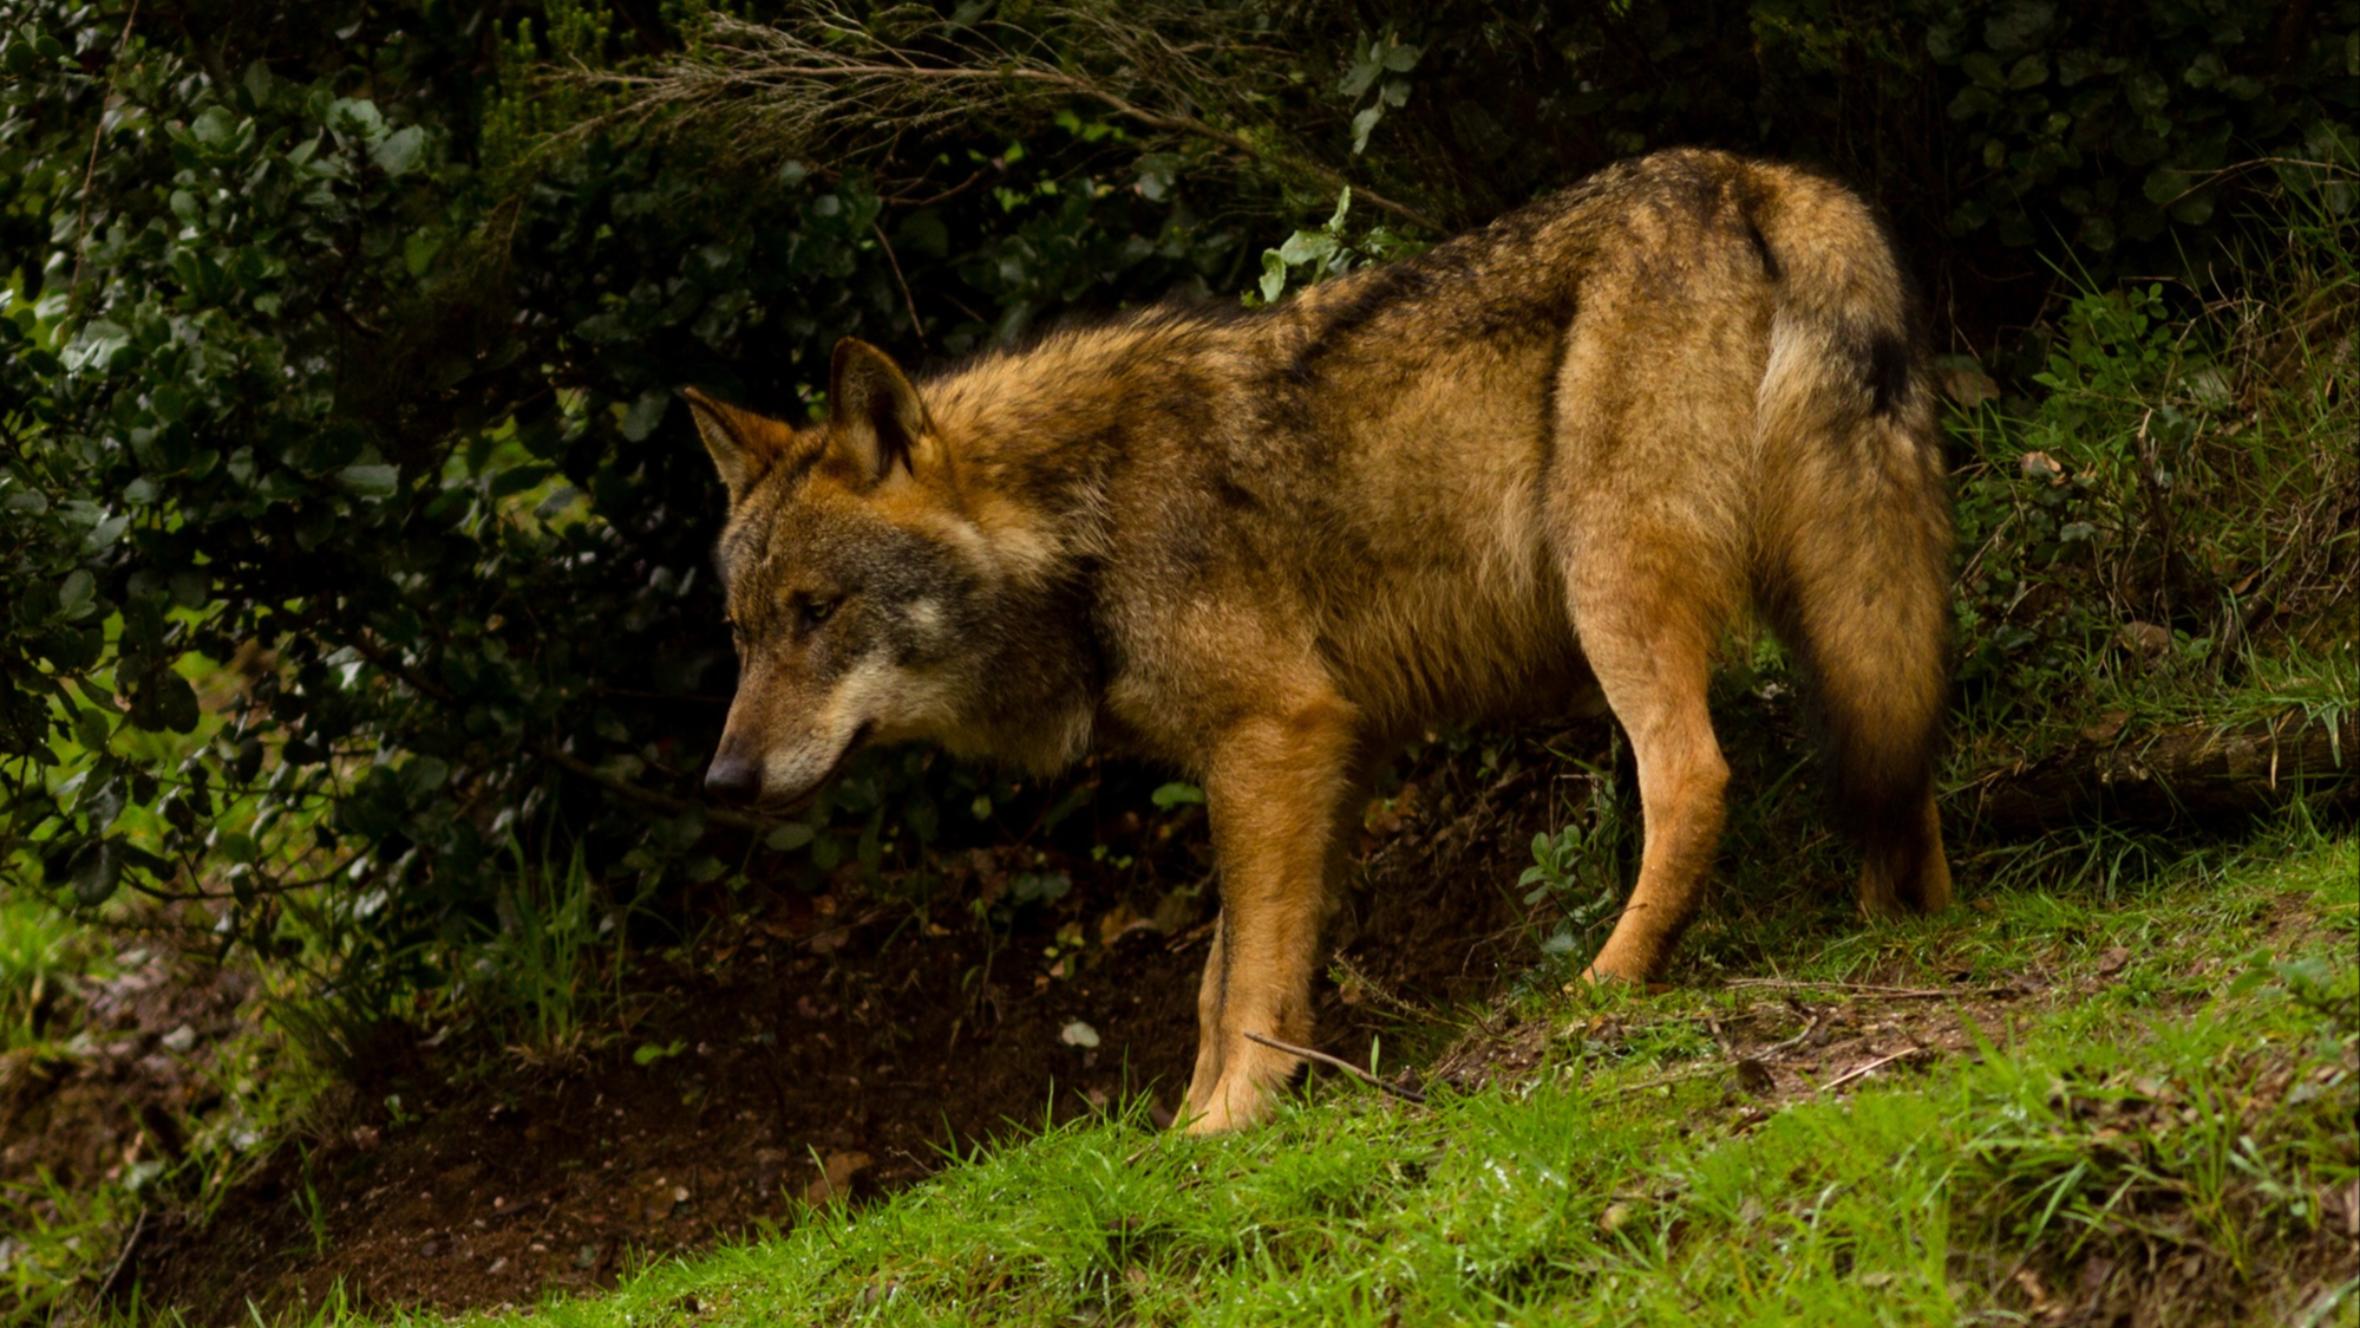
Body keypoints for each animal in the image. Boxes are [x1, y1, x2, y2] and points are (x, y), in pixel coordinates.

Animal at [684, 148, 1954, 1133]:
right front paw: (1191, 1127)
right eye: (744, 631)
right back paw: (1905, 922)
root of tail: (1750, 177)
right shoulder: (1325, 754)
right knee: (1899, 750)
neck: (1081, 514)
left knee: (1690, 777)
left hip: (1613, 592)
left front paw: (1227, 1124)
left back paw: (1604, 983)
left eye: (817, 610)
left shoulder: (1273, 735)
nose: (723, 781)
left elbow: (1243, 975)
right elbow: (1229, 975)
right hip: (1841, 595)